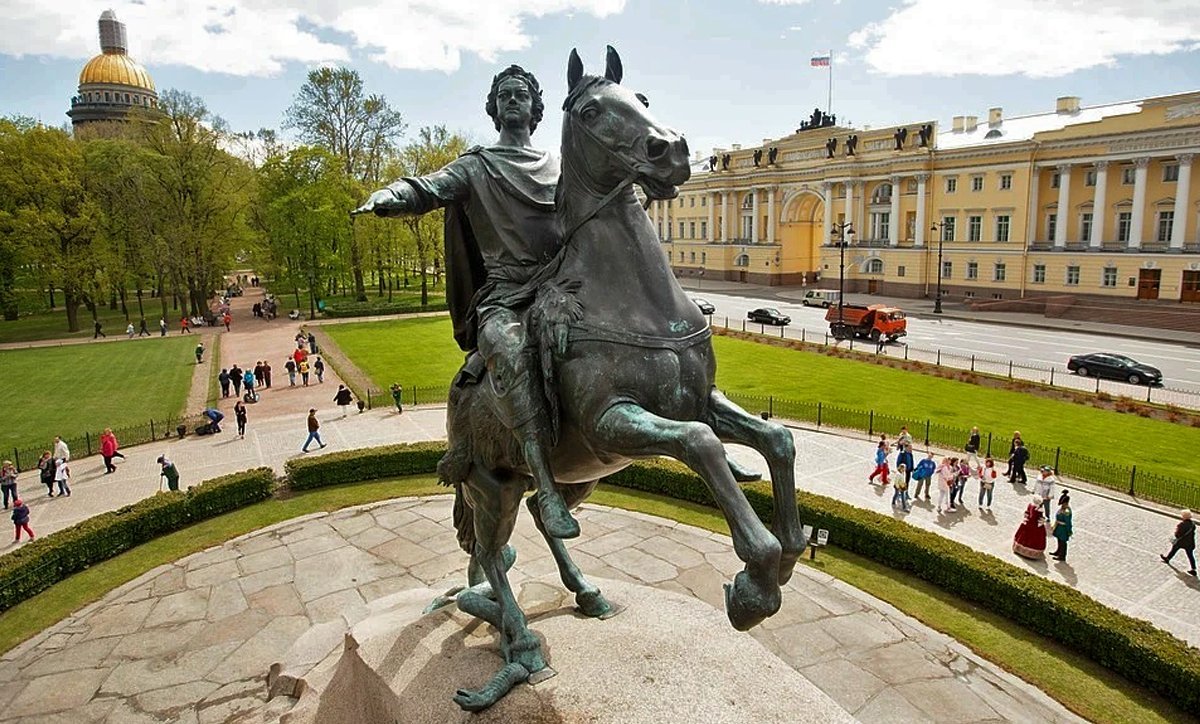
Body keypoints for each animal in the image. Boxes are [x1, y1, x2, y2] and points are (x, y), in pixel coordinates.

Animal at [434, 45, 806, 715]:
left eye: (644, 100)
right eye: (589, 110)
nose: (672, 150)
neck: (634, 298)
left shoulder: (698, 401)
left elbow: (777, 438)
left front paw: (785, 556)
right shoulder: (613, 422)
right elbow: (700, 446)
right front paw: (755, 584)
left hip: (574, 479)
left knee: (535, 514)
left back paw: (581, 592)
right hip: (490, 485)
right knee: (492, 553)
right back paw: (519, 645)